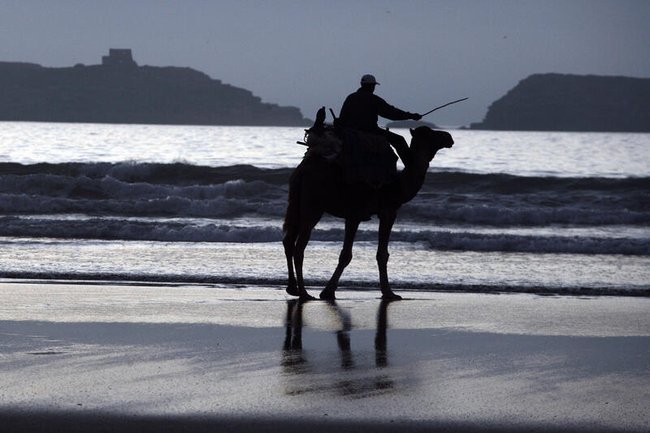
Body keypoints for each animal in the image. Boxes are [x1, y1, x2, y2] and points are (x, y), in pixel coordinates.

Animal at [283, 126, 454, 301]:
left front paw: (328, 291)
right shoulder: (378, 212)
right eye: (431, 134)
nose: (448, 137)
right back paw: (304, 293)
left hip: (295, 202)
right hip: (313, 206)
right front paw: (389, 293)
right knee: (300, 247)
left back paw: (293, 288)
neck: (398, 186)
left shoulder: (359, 215)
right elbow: (367, 255)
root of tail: (302, 171)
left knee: (288, 240)